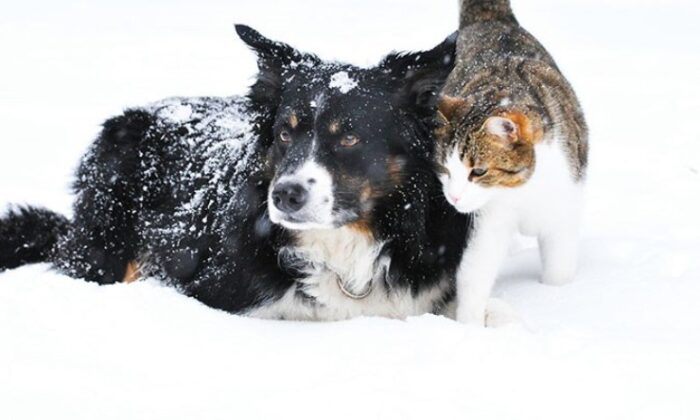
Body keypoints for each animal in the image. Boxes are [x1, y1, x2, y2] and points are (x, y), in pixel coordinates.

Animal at [434, 0, 588, 326]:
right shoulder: (489, 219)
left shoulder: (563, 210)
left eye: (478, 171)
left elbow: (559, 270)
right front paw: (468, 324)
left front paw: (558, 298)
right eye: (444, 169)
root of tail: (491, 19)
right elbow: (475, 270)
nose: (454, 198)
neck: (523, 191)